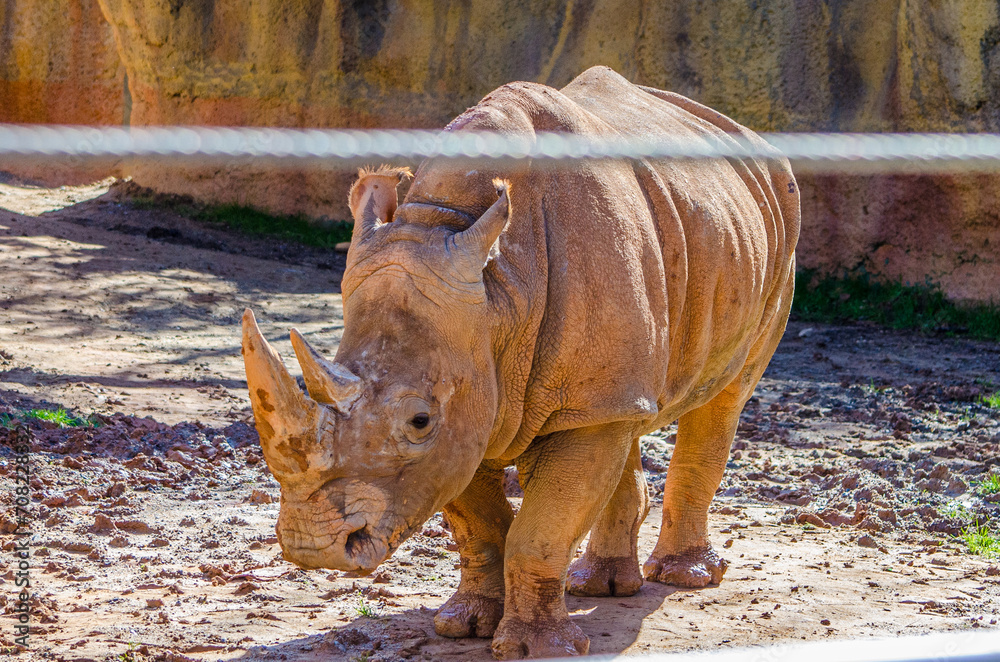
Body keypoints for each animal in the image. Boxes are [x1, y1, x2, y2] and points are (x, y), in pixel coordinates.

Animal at [241, 66, 799, 659]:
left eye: (419, 421)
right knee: (628, 411)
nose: (313, 547)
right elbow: (482, 523)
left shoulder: (475, 391)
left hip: (780, 236)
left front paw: (539, 649)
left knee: (722, 398)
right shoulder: (472, 399)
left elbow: (542, 528)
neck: (501, 295)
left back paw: (682, 578)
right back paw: (600, 585)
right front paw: (465, 625)